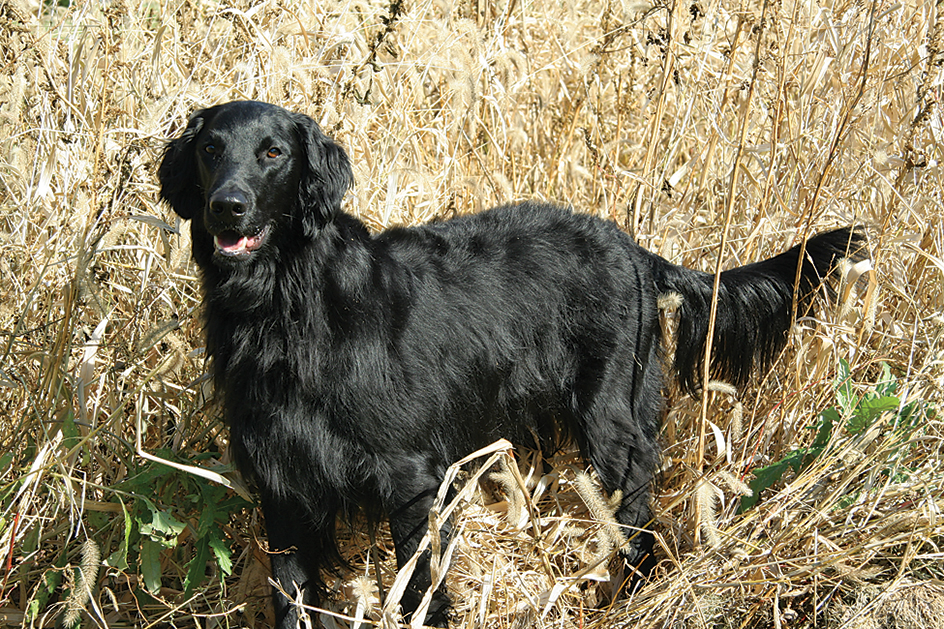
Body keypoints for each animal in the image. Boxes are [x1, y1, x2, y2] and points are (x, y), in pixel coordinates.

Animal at [159, 100, 868, 624]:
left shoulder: (410, 475)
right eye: (210, 149)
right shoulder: (284, 489)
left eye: (272, 152)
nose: (228, 207)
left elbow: (419, 587)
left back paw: (632, 584)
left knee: (636, 493)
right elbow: (293, 599)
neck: (284, 308)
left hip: (609, 416)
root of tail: (634, 250)